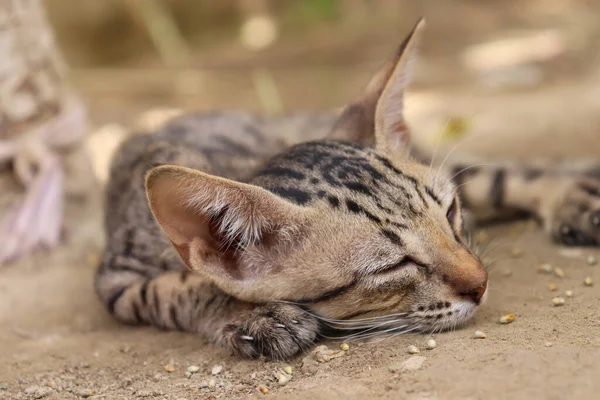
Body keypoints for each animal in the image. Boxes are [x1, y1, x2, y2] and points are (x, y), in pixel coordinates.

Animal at [95, 19, 600, 360]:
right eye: (392, 266)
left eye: (450, 214)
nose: (482, 283)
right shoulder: (116, 279)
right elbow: (178, 290)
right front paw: (253, 313)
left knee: (508, 174)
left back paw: (574, 199)